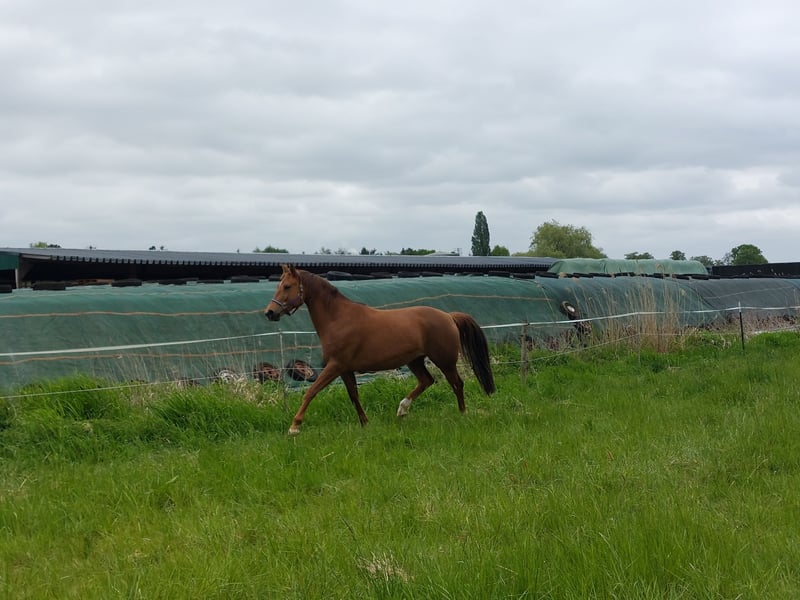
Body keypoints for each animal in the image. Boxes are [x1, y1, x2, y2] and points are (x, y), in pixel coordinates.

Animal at [264, 264, 495, 435]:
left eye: (287, 286)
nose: (270, 312)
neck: (337, 319)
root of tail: (448, 316)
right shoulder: (345, 369)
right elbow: (354, 396)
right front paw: (365, 424)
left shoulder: (334, 366)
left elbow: (311, 392)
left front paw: (294, 427)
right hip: (415, 360)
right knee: (427, 381)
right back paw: (402, 410)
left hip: (444, 360)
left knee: (457, 383)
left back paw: (462, 414)